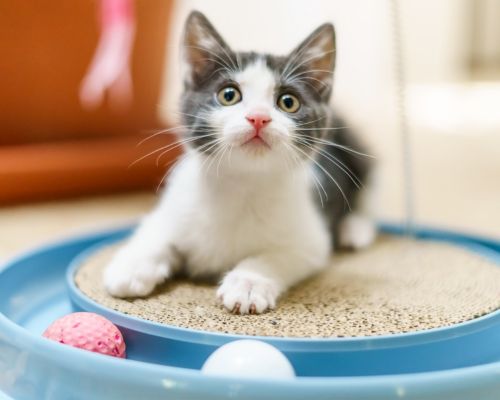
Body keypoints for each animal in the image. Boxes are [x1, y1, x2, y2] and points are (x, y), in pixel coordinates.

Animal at [102, 10, 376, 314]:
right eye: (229, 95)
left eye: (288, 102)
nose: (258, 117)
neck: (242, 183)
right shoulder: (173, 209)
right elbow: (155, 232)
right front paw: (131, 266)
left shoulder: (311, 239)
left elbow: (277, 255)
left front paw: (248, 283)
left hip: (356, 148)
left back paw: (355, 229)